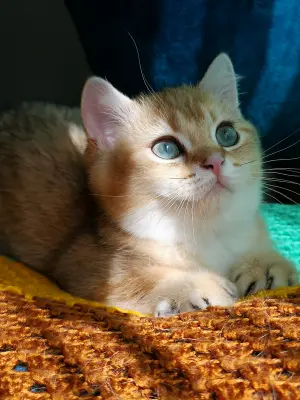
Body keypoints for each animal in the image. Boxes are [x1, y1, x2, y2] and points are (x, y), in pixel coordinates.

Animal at [0, 53, 296, 316]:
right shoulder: (82, 261)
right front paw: (193, 285)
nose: (215, 161)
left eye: (227, 134)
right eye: (166, 149)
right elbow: (136, 277)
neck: (204, 233)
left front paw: (264, 264)